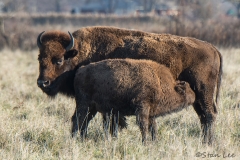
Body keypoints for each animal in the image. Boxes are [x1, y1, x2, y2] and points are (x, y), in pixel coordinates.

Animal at [36, 26, 222, 145]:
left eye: (59, 60)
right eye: (40, 58)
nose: (42, 82)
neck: (81, 51)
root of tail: (213, 48)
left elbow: (109, 123)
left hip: (203, 92)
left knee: (209, 115)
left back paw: (209, 143)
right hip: (198, 98)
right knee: (203, 117)